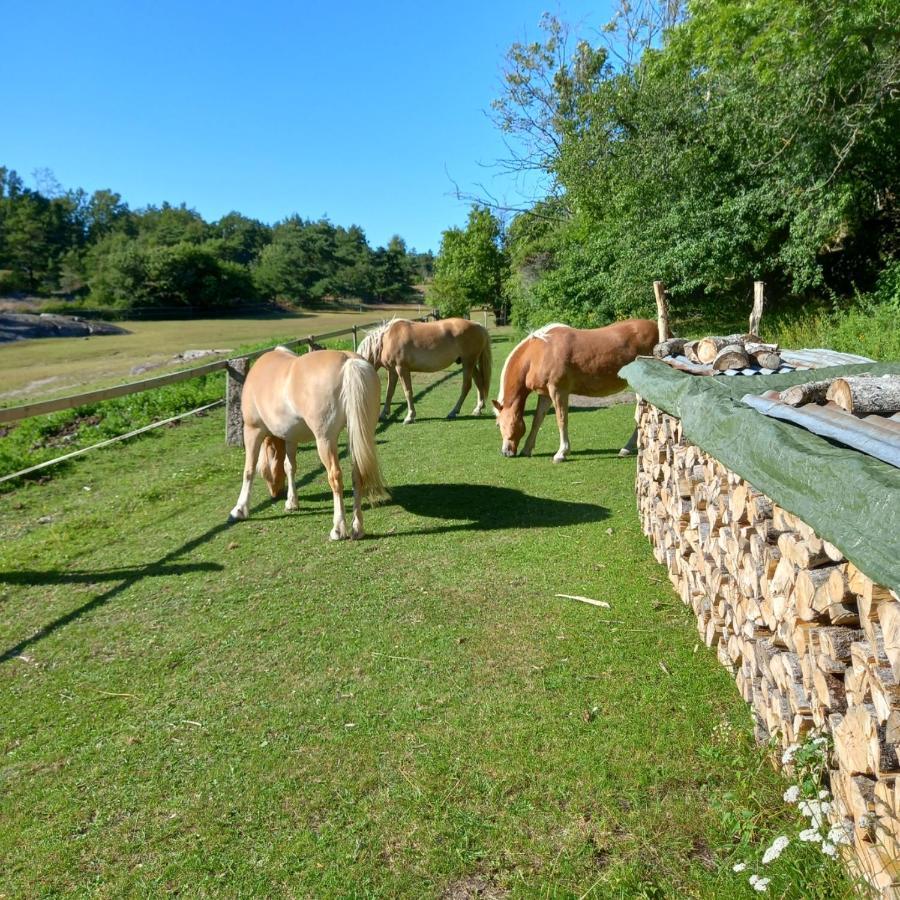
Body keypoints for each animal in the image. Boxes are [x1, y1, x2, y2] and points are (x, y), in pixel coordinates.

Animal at [227, 348, 384, 536]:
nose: (275, 493)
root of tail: (348, 361)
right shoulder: (290, 437)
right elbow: (289, 466)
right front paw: (292, 502)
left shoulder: (252, 430)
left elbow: (249, 470)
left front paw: (240, 509)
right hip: (358, 434)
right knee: (357, 474)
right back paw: (357, 527)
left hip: (325, 440)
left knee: (335, 476)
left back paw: (338, 528)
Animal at [356, 316, 492, 426]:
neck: (386, 340)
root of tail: (478, 326)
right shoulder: (392, 371)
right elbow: (390, 392)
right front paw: (383, 414)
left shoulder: (402, 368)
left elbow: (408, 391)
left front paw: (409, 417)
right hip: (469, 363)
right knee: (479, 382)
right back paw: (478, 409)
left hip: (468, 362)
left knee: (466, 386)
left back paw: (453, 412)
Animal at [496, 322, 656, 464]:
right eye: (498, 425)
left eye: (508, 424)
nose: (505, 452)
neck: (539, 353)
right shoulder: (545, 394)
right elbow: (537, 420)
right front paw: (527, 449)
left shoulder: (558, 391)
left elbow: (561, 420)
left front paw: (561, 453)